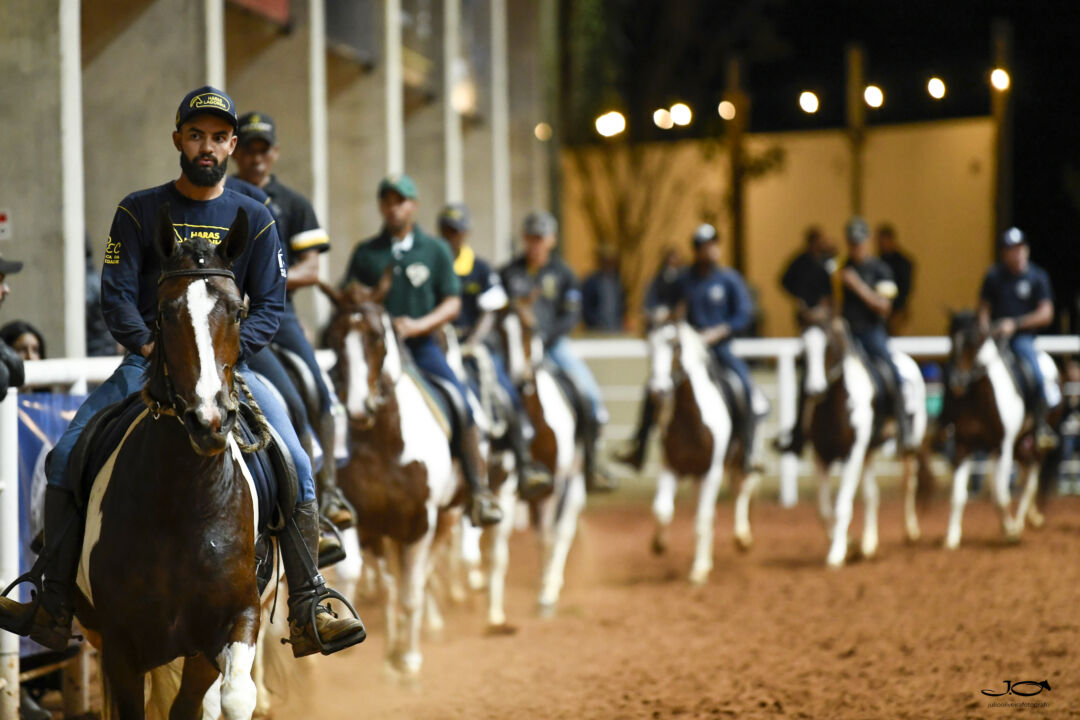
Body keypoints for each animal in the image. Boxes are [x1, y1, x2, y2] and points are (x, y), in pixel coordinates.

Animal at [74, 205, 263, 716]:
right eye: (164, 313)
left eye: (238, 311)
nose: (209, 419)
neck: (185, 501)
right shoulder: (119, 646)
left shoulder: (237, 617)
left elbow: (236, 695)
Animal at [803, 317, 928, 565]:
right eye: (803, 349)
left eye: (828, 346)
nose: (814, 390)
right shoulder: (821, 457)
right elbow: (824, 510)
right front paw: (849, 544)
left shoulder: (852, 454)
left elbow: (842, 504)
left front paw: (837, 552)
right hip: (868, 452)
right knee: (872, 495)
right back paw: (869, 544)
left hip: (908, 446)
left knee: (909, 484)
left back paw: (911, 532)